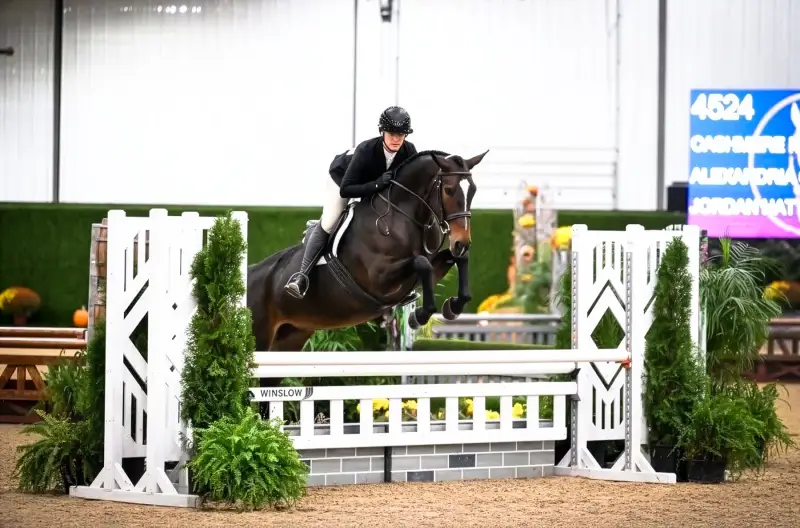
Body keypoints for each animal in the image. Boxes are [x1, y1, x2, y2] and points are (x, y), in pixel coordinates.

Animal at [246, 149, 488, 356]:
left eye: (473, 191)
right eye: (448, 190)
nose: (462, 241)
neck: (403, 216)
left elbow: (452, 260)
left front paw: (453, 306)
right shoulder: (379, 280)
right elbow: (422, 262)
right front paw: (419, 315)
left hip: (290, 337)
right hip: (259, 337)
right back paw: (297, 284)